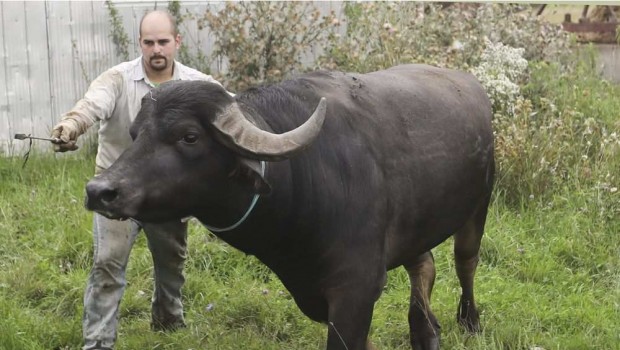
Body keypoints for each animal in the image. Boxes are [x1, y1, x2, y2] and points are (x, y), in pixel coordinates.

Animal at [86, 64, 494, 348]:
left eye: (189, 136)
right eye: (136, 134)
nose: (99, 191)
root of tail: (473, 86)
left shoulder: (355, 289)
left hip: (479, 207)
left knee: (465, 262)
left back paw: (469, 321)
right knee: (423, 265)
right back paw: (425, 331)